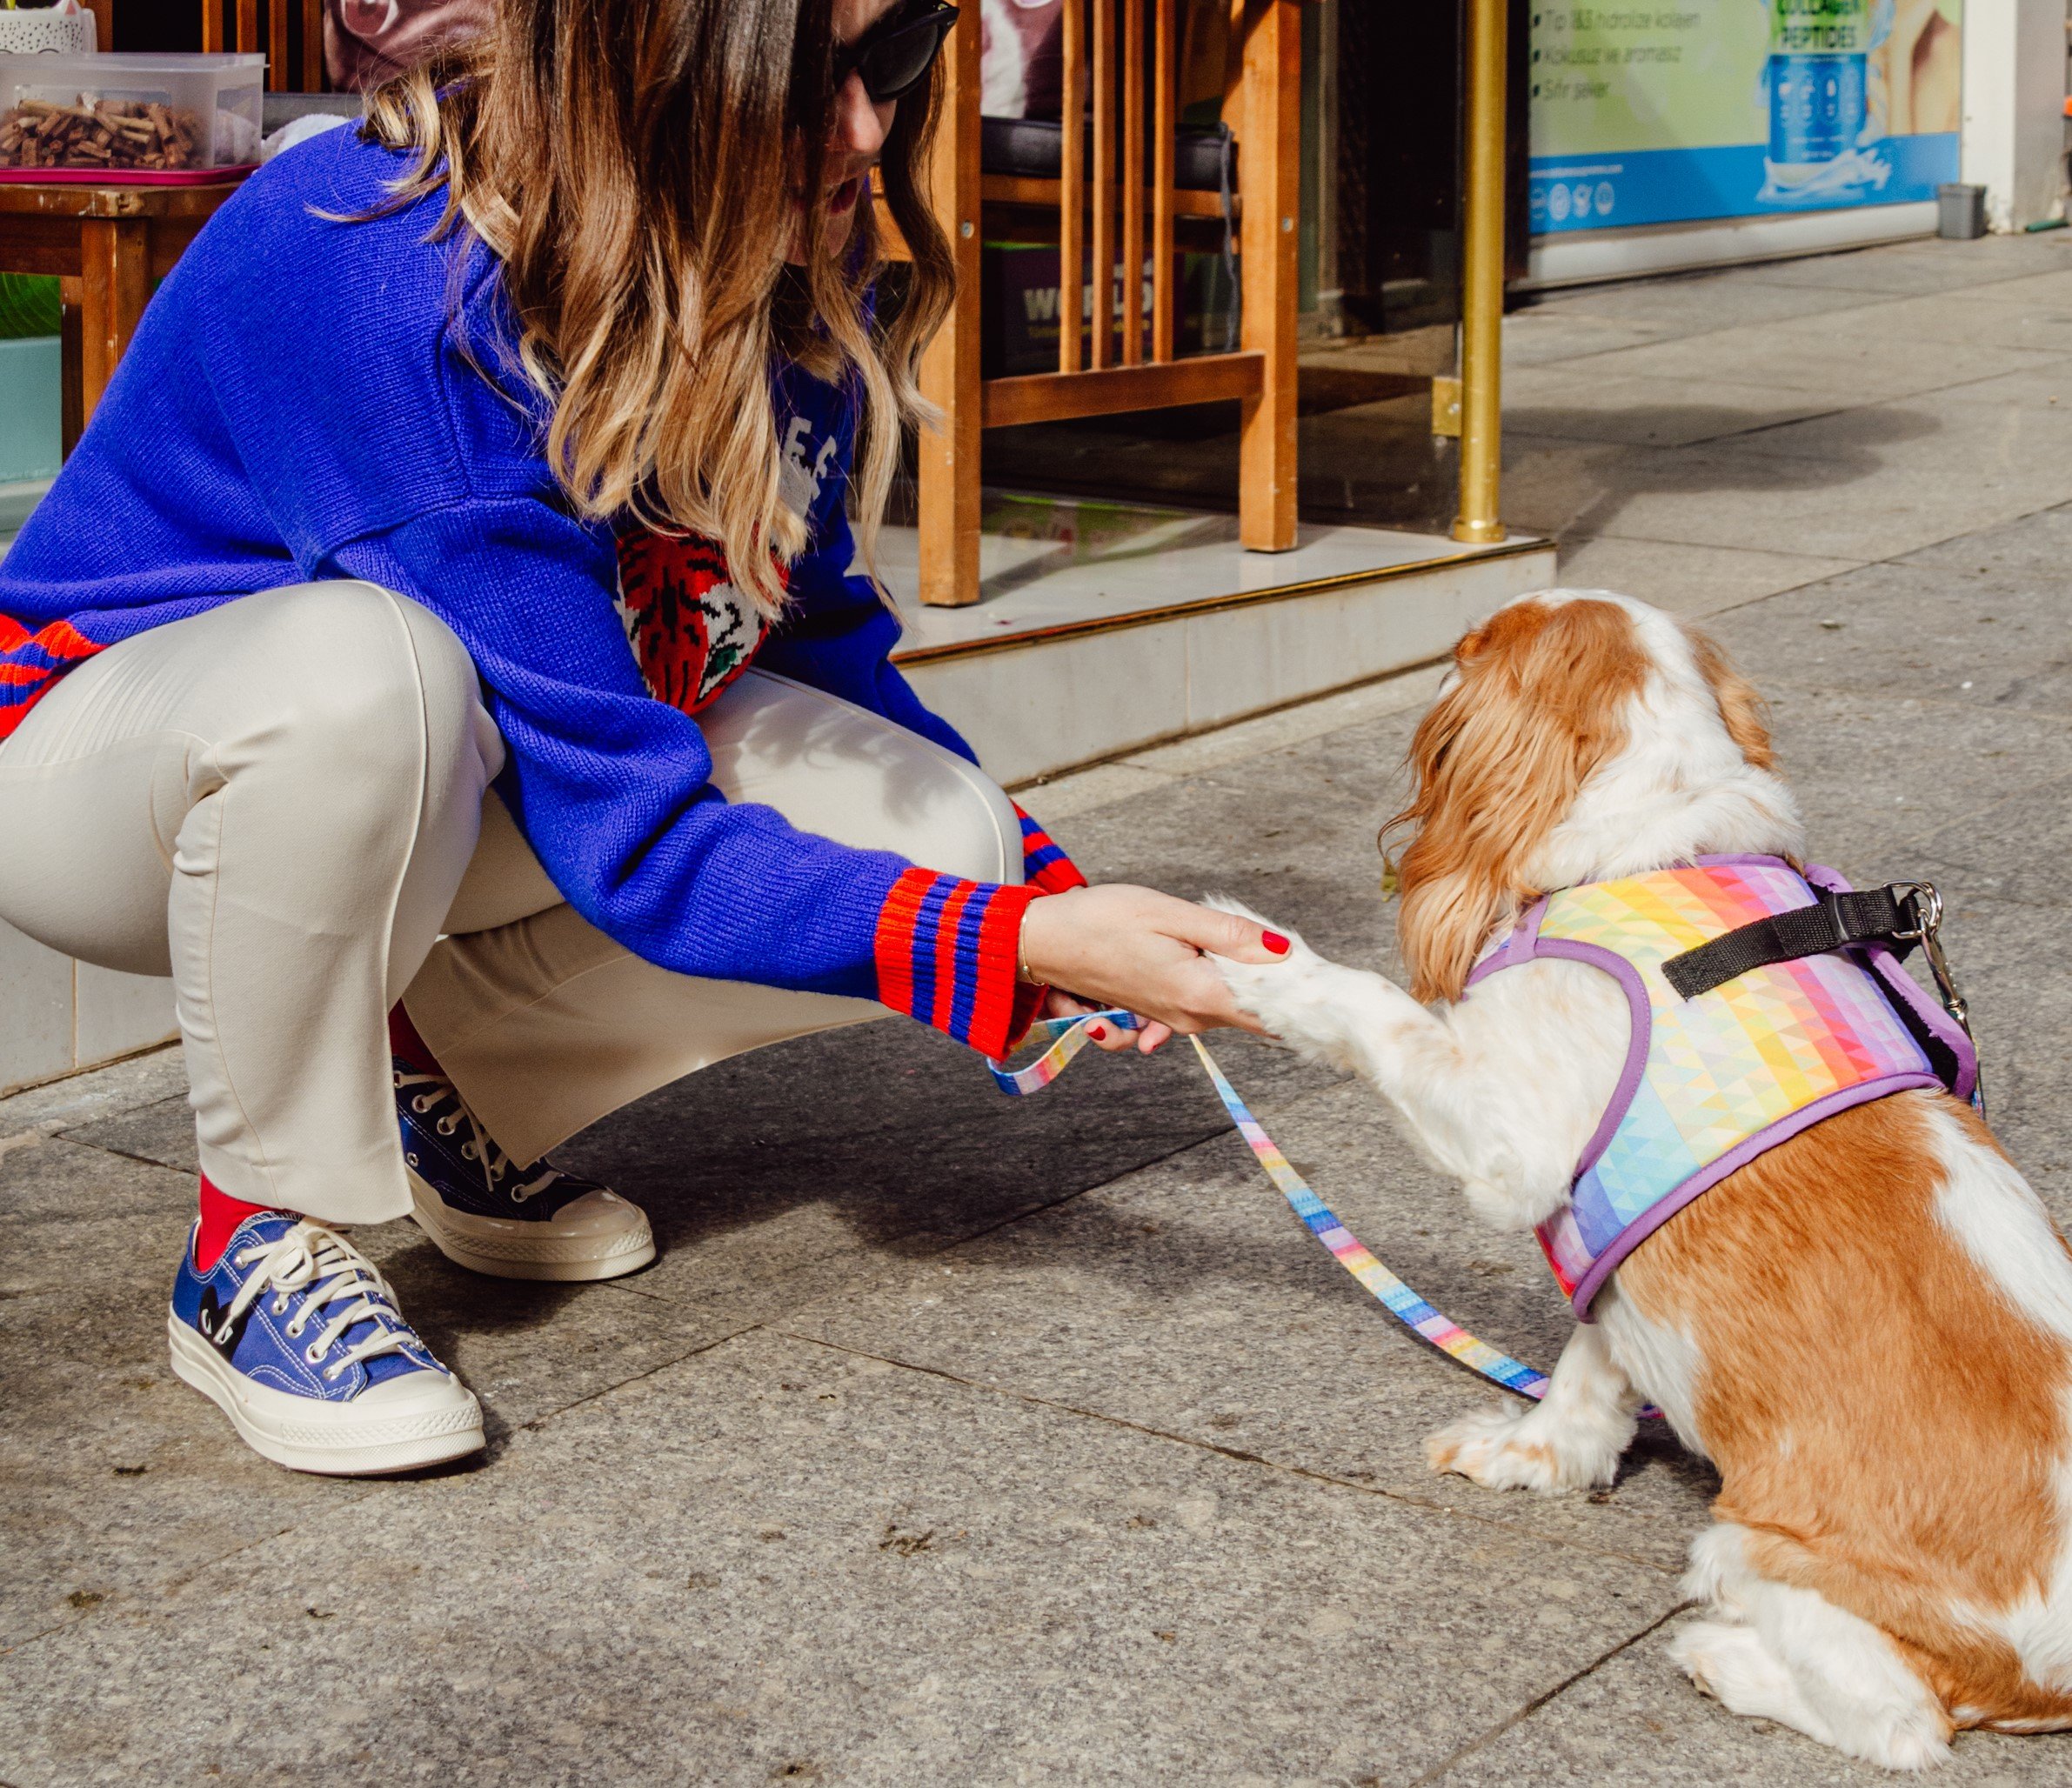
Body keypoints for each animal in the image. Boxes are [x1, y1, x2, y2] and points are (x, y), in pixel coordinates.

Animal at [1210, 592, 2072, 1765]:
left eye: (1461, 650)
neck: (1656, 851)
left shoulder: (1510, 1142)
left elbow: (1370, 1011)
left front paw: (1261, 960)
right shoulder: (1616, 1264)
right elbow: (1588, 1371)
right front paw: (1532, 1454)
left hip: (1759, 1551)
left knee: (1899, 1721)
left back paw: (1723, 1659)